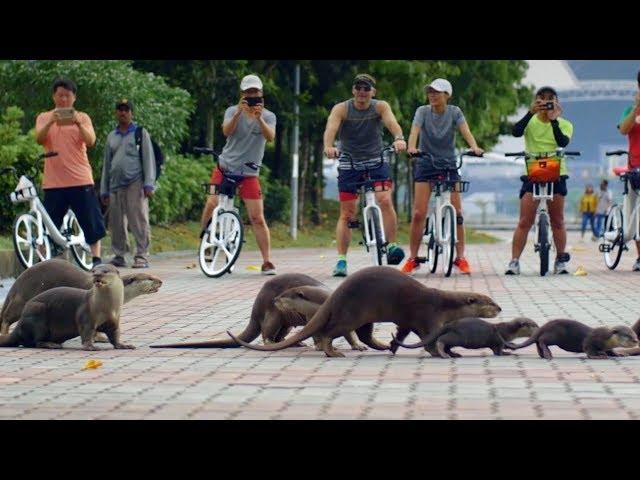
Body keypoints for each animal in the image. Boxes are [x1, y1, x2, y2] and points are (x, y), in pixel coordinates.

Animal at [0, 264, 133, 350]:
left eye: (105, 271)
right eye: (93, 270)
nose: (96, 275)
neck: (106, 308)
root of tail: (19, 325)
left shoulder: (114, 320)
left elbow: (115, 334)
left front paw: (124, 345)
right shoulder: (86, 315)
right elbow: (86, 332)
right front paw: (90, 346)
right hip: (36, 312)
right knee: (34, 341)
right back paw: (51, 344)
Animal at [225, 266, 500, 356]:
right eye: (488, 301)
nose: (499, 307)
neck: (444, 303)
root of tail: (336, 295)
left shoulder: (409, 321)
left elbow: (403, 332)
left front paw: (394, 346)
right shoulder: (429, 316)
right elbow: (430, 338)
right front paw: (440, 353)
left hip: (365, 317)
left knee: (365, 334)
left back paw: (379, 346)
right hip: (351, 314)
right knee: (331, 331)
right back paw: (333, 352)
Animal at [392, 316, 536, 358]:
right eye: (533, 325)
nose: (538, 326)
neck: (507, 330)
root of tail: (450, 324)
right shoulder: (499, 339)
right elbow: (498, 350)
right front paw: (507, 353)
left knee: (447, 345)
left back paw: (454, 354)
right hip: (458, 337)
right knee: (441, 340)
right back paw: (445, 355)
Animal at [504, 320, 636, 358]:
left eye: (634, 334)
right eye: (628, 335)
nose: (636, 341)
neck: (606, 338)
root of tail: (543, 327)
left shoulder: (607, 346)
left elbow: (611, 351)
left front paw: (619, 354)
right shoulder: (590, 340)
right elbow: (588, 349)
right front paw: (598, 355)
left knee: (538, 341)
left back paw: (542, 354)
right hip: (554, 336)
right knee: (541, 340)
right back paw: (547, 354)